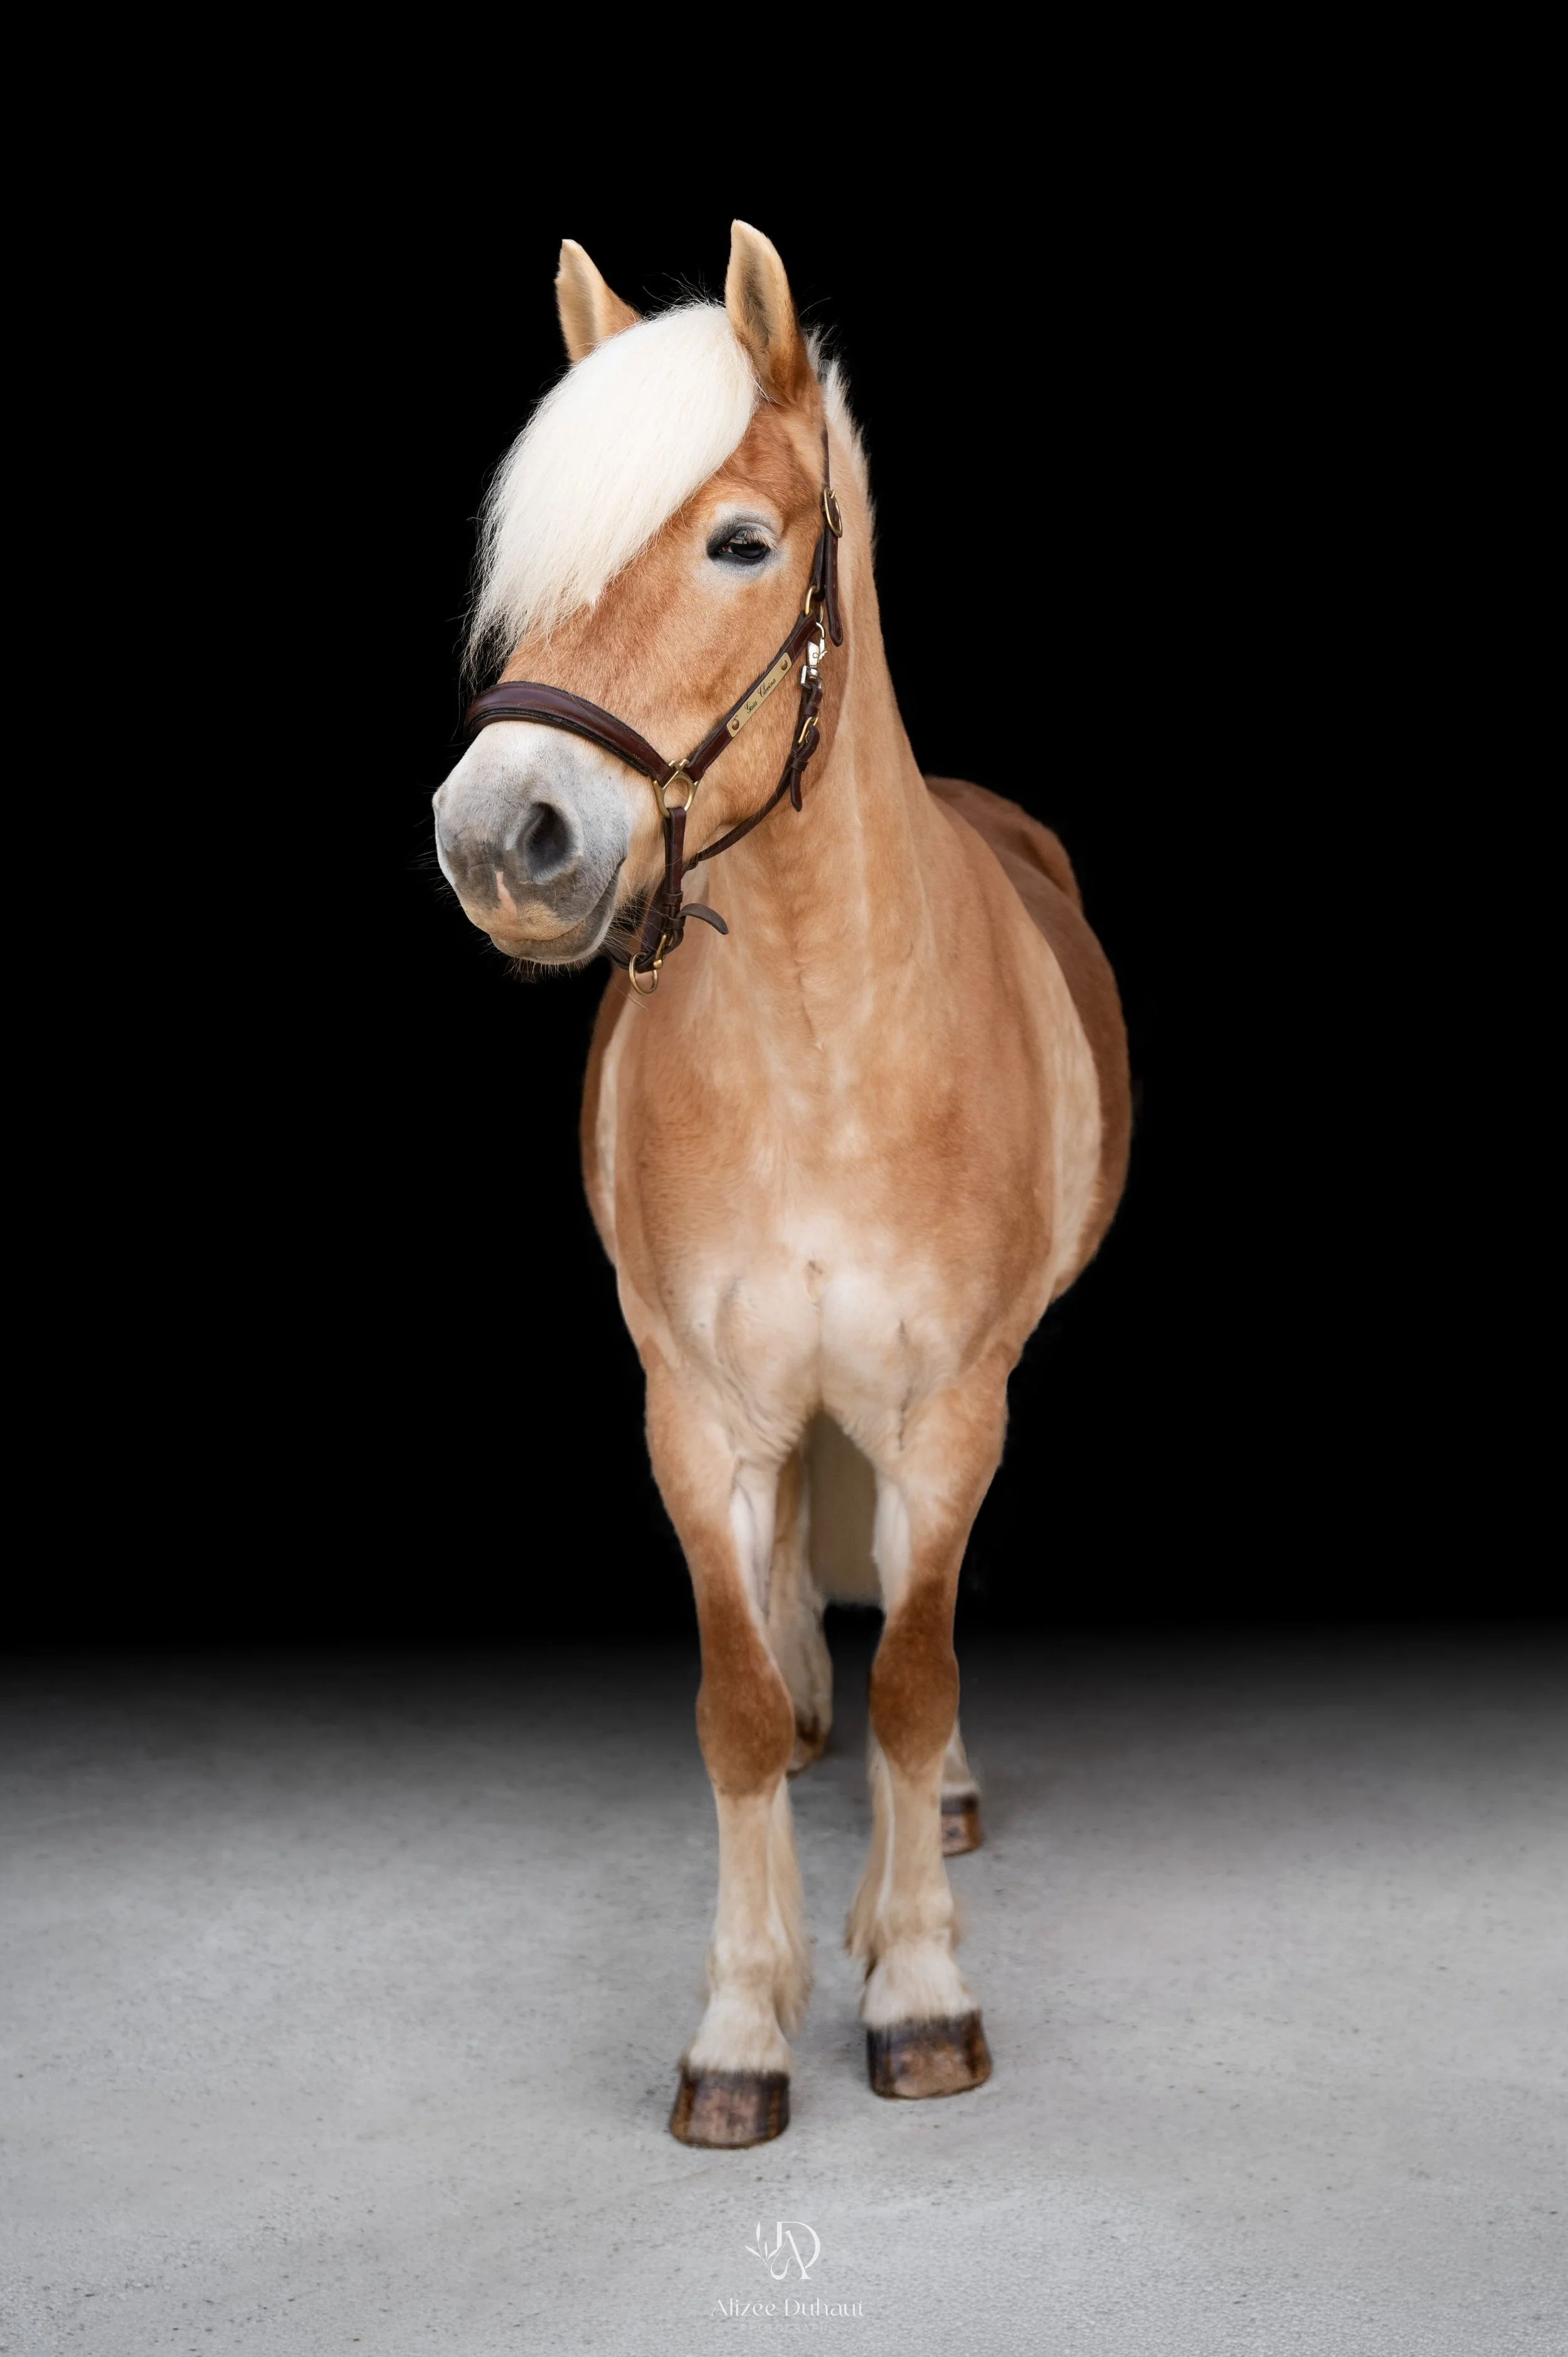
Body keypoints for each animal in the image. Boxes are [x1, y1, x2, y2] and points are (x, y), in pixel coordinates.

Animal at [432, 223, 1129, 2148]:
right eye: (537, 561)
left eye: (740, 543)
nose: (495, 835)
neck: (829, 1043)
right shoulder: (696, 1412)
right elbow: (737, 1706)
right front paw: (743, 2023)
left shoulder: (953, 1403)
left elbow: (920, 1665)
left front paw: (916, 1988)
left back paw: (932, 1816)